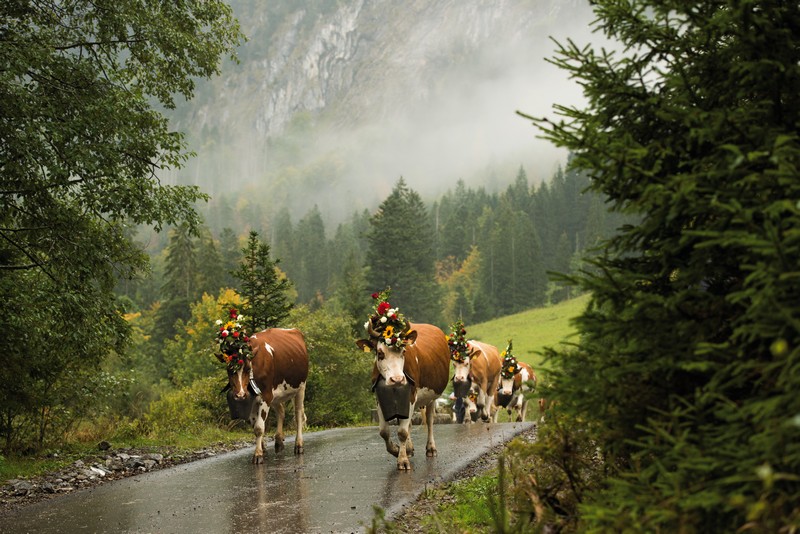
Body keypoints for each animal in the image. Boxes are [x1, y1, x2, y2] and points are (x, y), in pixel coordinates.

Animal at [217, 324, 308, 466]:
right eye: (229, 370)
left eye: (248, 369)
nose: (240, 395)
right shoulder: (253, 400)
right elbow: (254, 424)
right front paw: (263, 448)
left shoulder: (265, 396)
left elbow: (259, 427)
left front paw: (258, 454)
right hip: (276, 394)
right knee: (281, 411)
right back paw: (278, 440)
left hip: (300, 388)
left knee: (298, 416)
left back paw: (299, 445)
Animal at [356, 292, 450, 472]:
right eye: (380, 353)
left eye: (404, 351)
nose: (397, 379)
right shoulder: (380, 398)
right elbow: (385, 431)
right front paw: (396, 450)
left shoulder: (411, 396)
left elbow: (402, 432)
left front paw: (403, 460)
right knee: (410, 424)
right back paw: (409, 448)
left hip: (432, 397)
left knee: (429, 420)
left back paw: (430, 448)